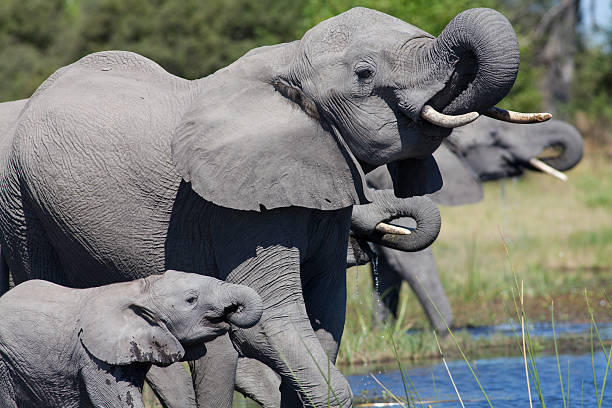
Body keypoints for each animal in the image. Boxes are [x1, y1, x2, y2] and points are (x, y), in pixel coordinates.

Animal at [364, 116, 584, 334]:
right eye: (494, 134)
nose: (548, 157)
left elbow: (388, 257)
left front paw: (382, 334)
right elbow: (409, 255)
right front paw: (446, 331)